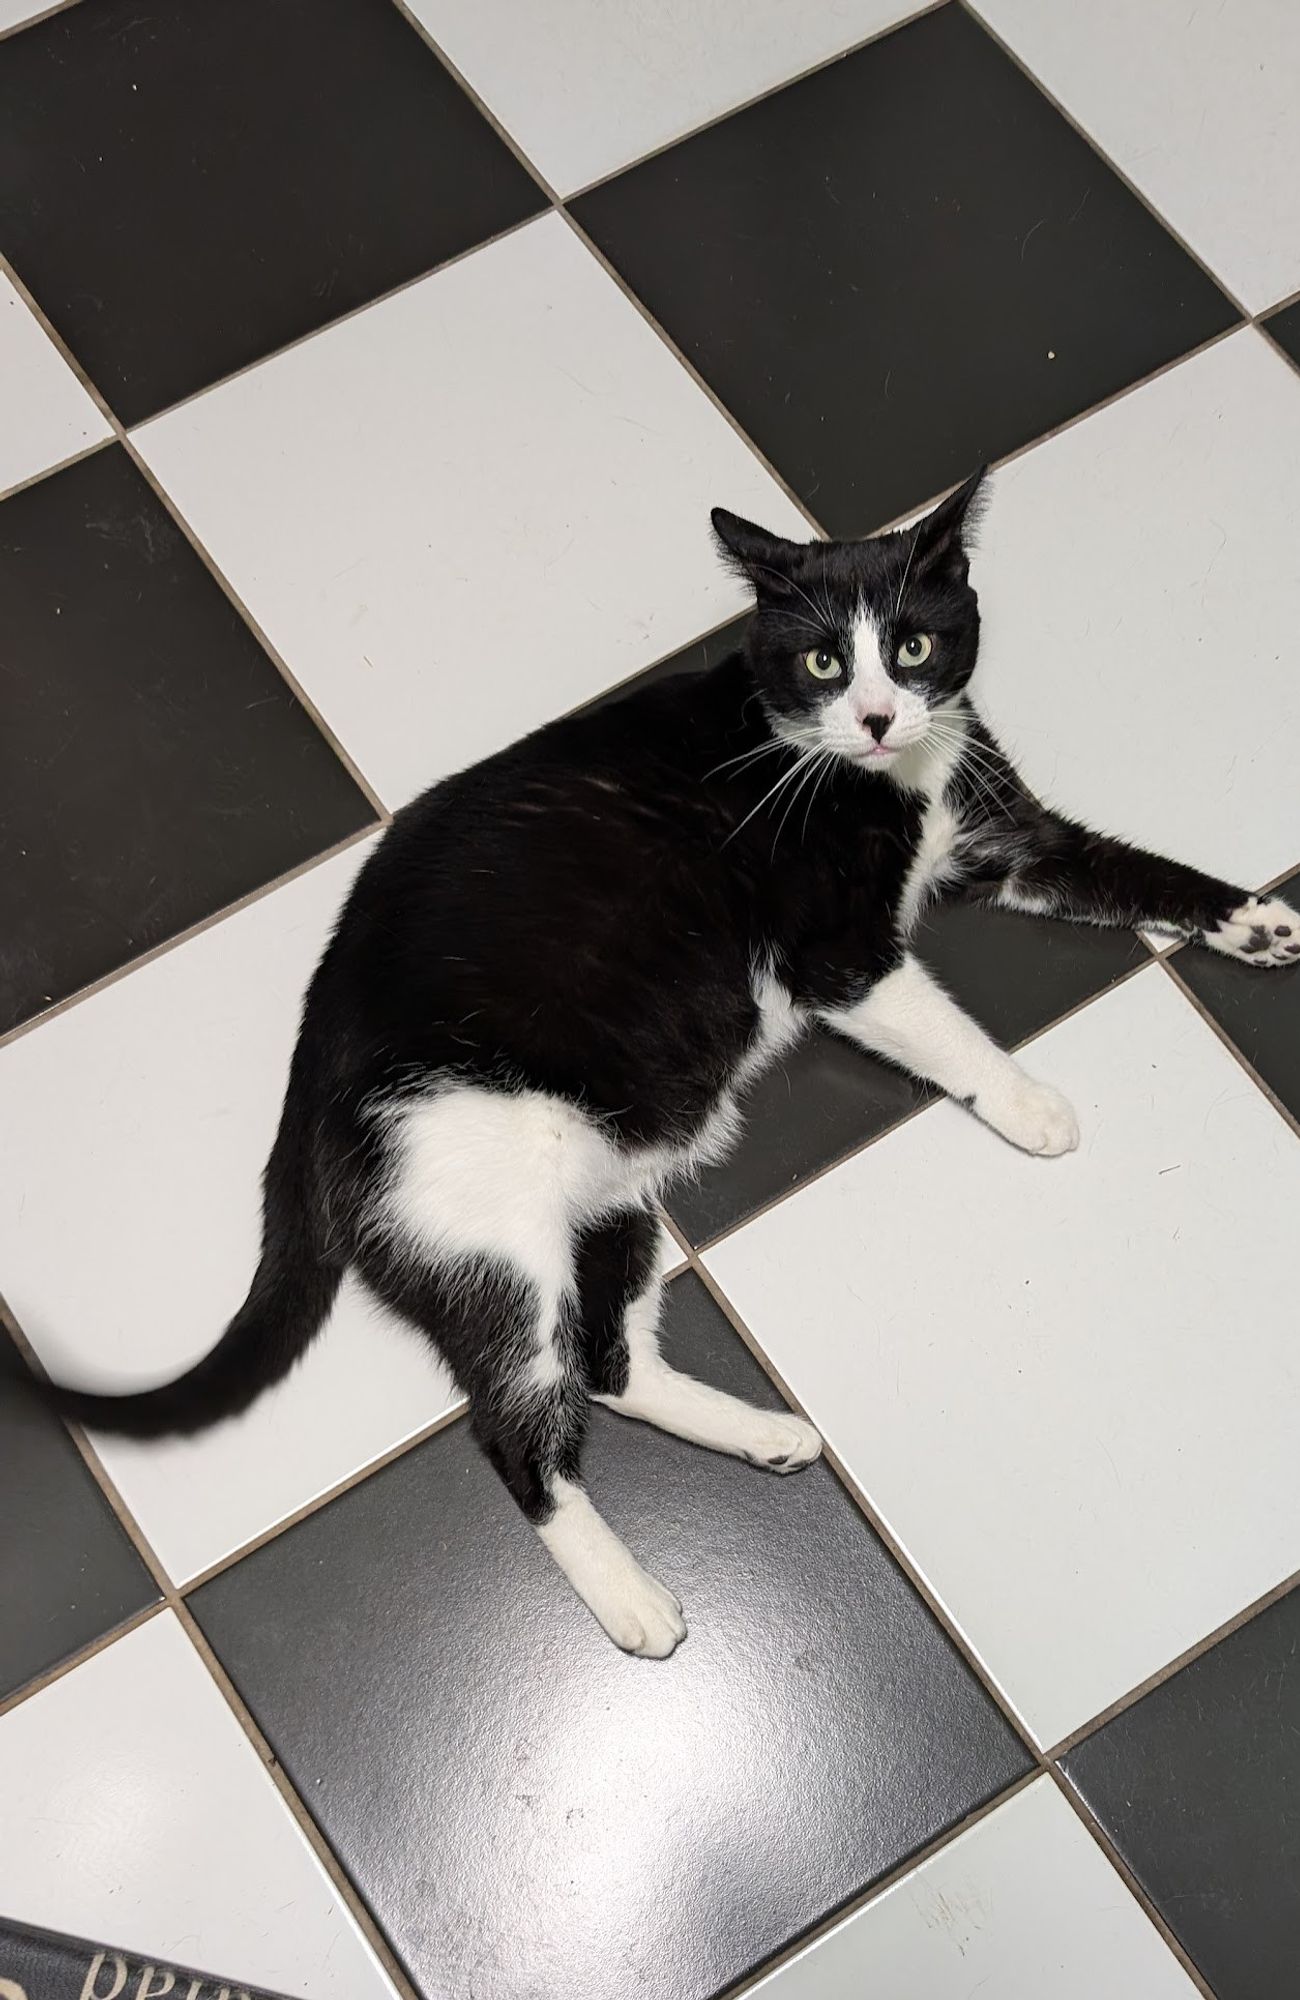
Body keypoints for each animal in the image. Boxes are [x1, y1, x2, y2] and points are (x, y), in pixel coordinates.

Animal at [33, 472, 1296, 1656]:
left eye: (913, 646)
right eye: (823, 659)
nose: (878, 718)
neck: (871, 774)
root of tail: (306, 1083)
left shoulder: (1011, 836)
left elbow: (1135, 871)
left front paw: (1259, 921)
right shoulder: (834, 953)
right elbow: (943, 1027)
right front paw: (1029, 1103)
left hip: (612, 1194)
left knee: (607, 1362)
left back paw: (768, 1434)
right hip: (490, 1233)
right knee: (517, 1428)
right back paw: (632, 1599)